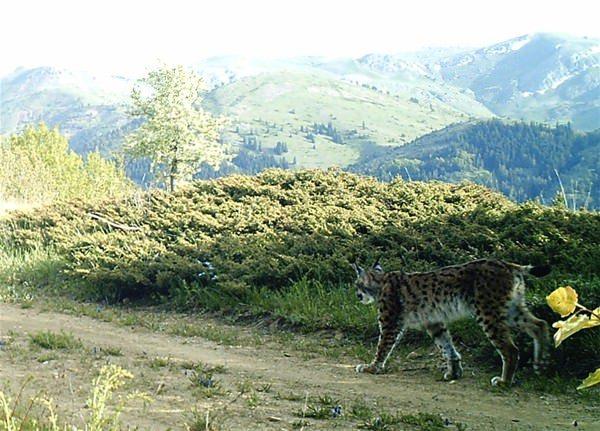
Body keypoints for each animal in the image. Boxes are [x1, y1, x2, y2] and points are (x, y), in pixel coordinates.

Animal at [352, 258, 552, 386]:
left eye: (357, 285)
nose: (357, 296)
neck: (380, 281)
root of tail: (508, 264)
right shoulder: (434, 322)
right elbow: (446, 345)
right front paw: (454, 372)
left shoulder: (390, 322)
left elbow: (382, 346)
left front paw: (372, 367)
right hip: (510, 309)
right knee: (540, 324)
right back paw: (540, 364)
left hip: (487, 312)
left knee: (511, 349)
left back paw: (505, 381)